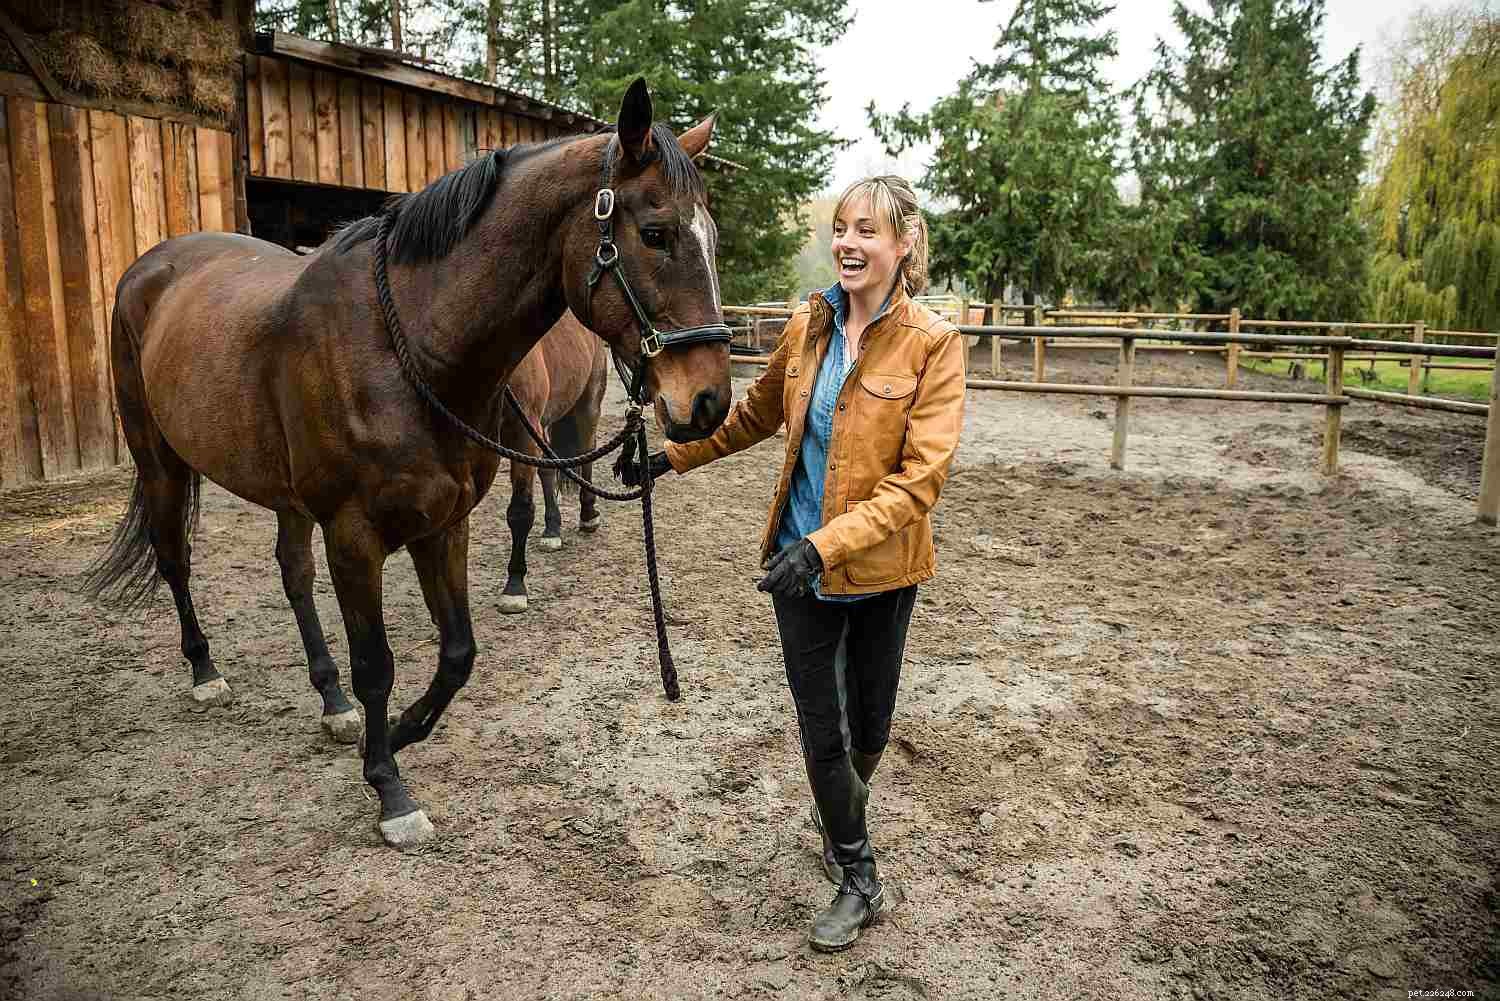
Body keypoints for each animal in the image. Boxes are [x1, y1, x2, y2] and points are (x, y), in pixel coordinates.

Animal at [496, 309, 609, 614]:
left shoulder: (523, 433)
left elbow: (520, 511)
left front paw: (514, 587)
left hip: (587, 404)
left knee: (587, 453)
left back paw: (588, 515)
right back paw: (552, 528)